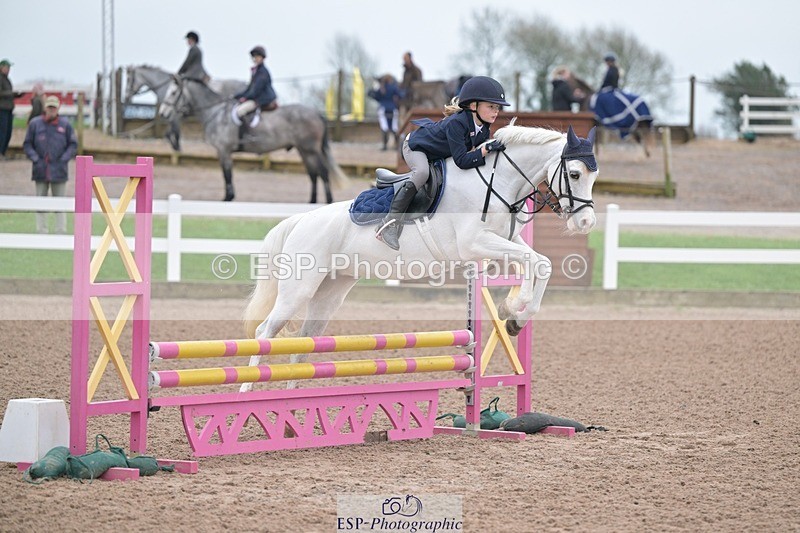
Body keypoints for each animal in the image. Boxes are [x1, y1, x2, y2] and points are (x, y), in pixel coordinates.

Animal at [159, 76, 350, 202]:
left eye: (173, 93)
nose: (163, 113)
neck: (215, 112)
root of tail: (316, 113)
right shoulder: (223, 151)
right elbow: (226, 174)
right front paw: (229, 197)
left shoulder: (224, 150)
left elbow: (227, 174)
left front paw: (228, 198)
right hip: (303, 150)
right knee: (313, 174)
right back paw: (311, 202)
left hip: (310, 149)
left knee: (323, 173)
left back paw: (328, 201)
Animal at [238, 122, 598, 392]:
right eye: (575, 174)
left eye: (594, 176)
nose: (586, 223)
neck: (497, 182)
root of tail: (301, 219)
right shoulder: (476, 244)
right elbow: (533, 263)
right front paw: (512, 307)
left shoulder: (501, 242)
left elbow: (540, 263)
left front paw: (515, 318)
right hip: (298, 289)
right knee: (264, 334)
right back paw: (246, 392)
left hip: (329, 294)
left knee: (301, 345)